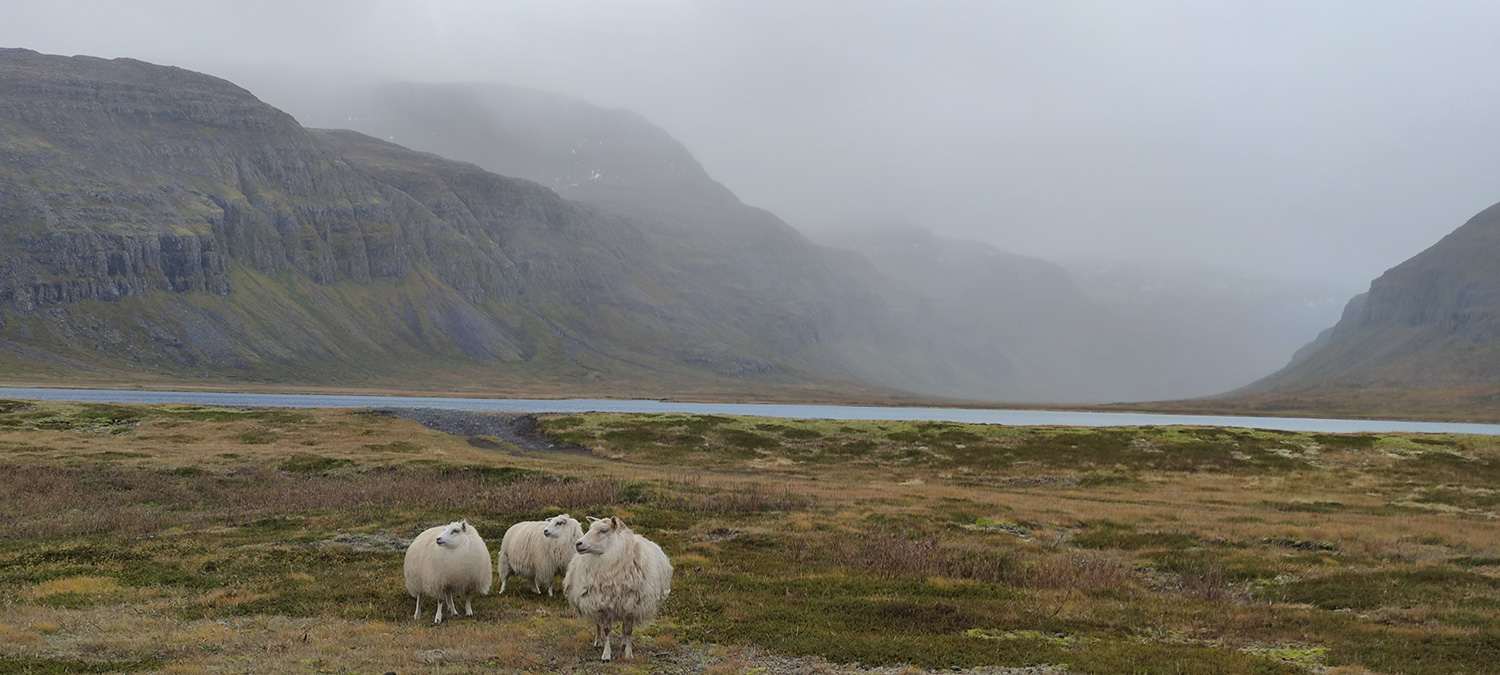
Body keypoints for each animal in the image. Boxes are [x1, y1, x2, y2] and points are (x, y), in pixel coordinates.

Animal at [564, 513, 675, 663]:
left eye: (603, 530)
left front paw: (628, 653)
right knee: (598, 623)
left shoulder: (632, 604)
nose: (578, 544)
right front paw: (606, 654)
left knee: (623, 625)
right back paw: (598, 641)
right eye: (590, 528)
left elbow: (628, 631)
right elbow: (606, 629)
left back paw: (623, 643)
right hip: (594, 600)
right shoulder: (603, 604)